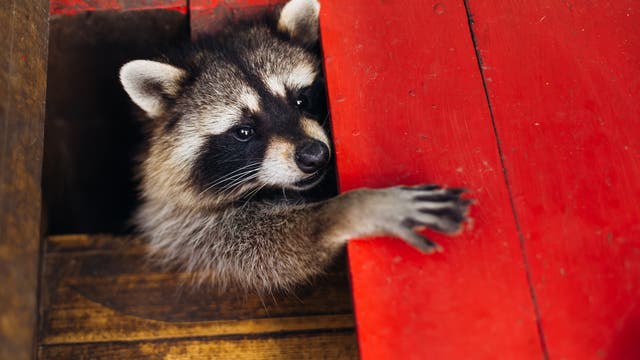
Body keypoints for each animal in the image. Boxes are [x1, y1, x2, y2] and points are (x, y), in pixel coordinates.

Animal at [119, 0, 470, 292]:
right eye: (244, 132)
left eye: (301, 99)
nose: (315, 156)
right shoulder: (180, 222)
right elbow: (256, 249)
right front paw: (348, 210)